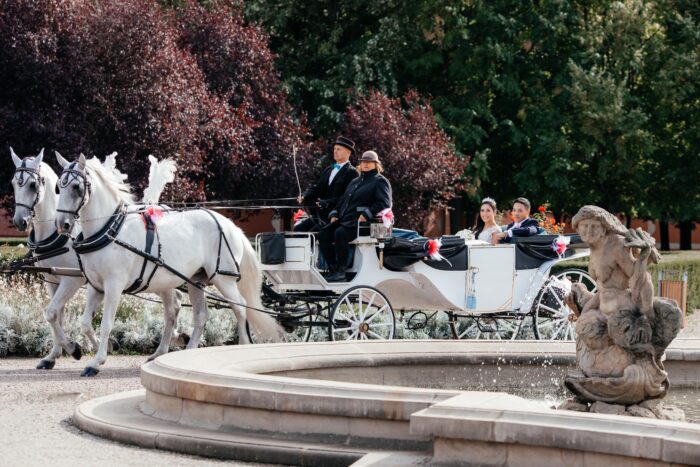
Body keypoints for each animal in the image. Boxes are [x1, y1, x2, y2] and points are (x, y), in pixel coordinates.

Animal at [55, 154, 282, 376]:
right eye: (59, 186)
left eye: (76, 187)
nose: (62, 224)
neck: (110, 229)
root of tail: (228, 223)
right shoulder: (96, 287)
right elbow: (85, 323)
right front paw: (99, 350)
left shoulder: (114, 286)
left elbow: (106, 324)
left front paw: (97, 361)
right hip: (195, 280)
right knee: (201, 316)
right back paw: (187, 354)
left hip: (223, 279)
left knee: (240, 307)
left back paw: (242, 346)